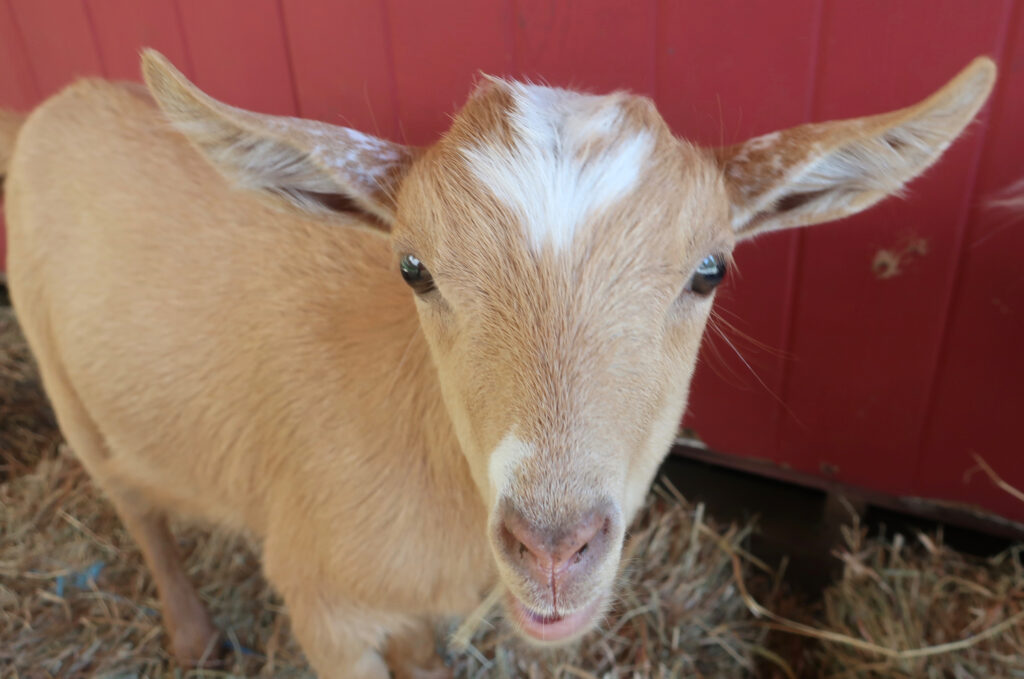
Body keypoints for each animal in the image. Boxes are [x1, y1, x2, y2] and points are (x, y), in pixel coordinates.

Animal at [0, 50, 991, 675]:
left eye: (710, 268)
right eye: (413, 267)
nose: (553, 548)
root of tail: (55, 101)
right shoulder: (322, 606)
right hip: (62, 375)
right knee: (135, 504)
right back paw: (194, 633)